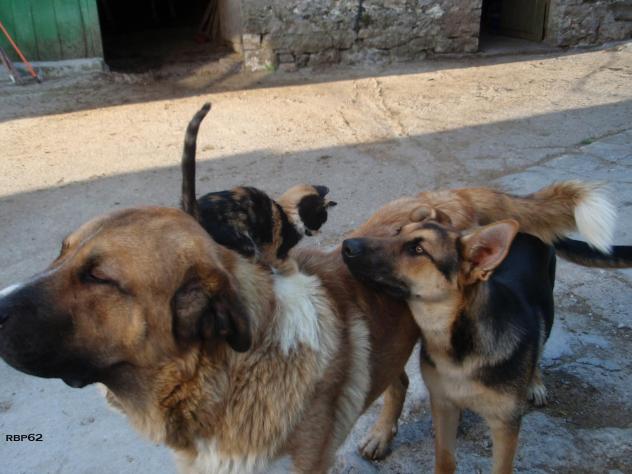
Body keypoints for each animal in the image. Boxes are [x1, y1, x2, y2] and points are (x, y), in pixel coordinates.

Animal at [181, 103, 337, 274]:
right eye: (322, 219)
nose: (319, 232)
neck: (287, 212)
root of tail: (194, 211)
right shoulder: (275, 253)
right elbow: (290, 266)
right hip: (245, 245)